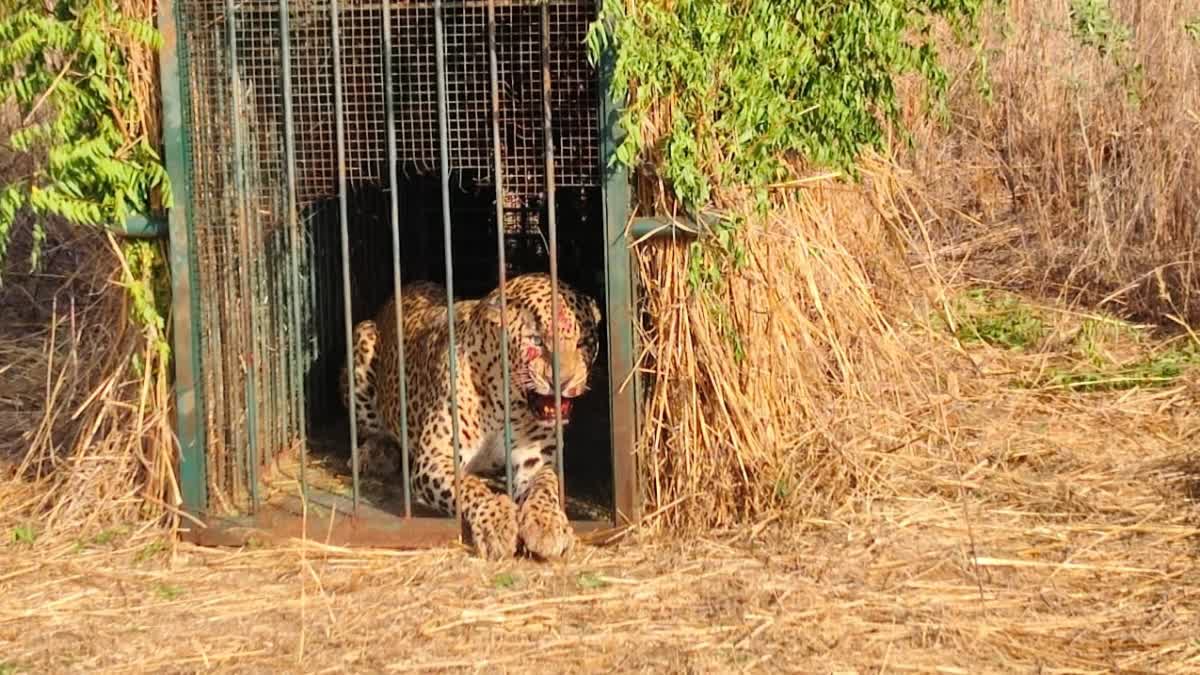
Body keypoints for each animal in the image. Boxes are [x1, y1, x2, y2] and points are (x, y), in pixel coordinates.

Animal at [336, 270, 600, 559]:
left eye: (583, 342)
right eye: (536, 341)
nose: (563, 381)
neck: (507, 404)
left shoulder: (536, 462)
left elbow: (546, 486)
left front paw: (547, 524)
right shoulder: (435, 457)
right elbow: (469, 487)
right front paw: (497, 524)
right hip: (362, 335)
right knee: (374, 432)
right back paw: (374, 455)